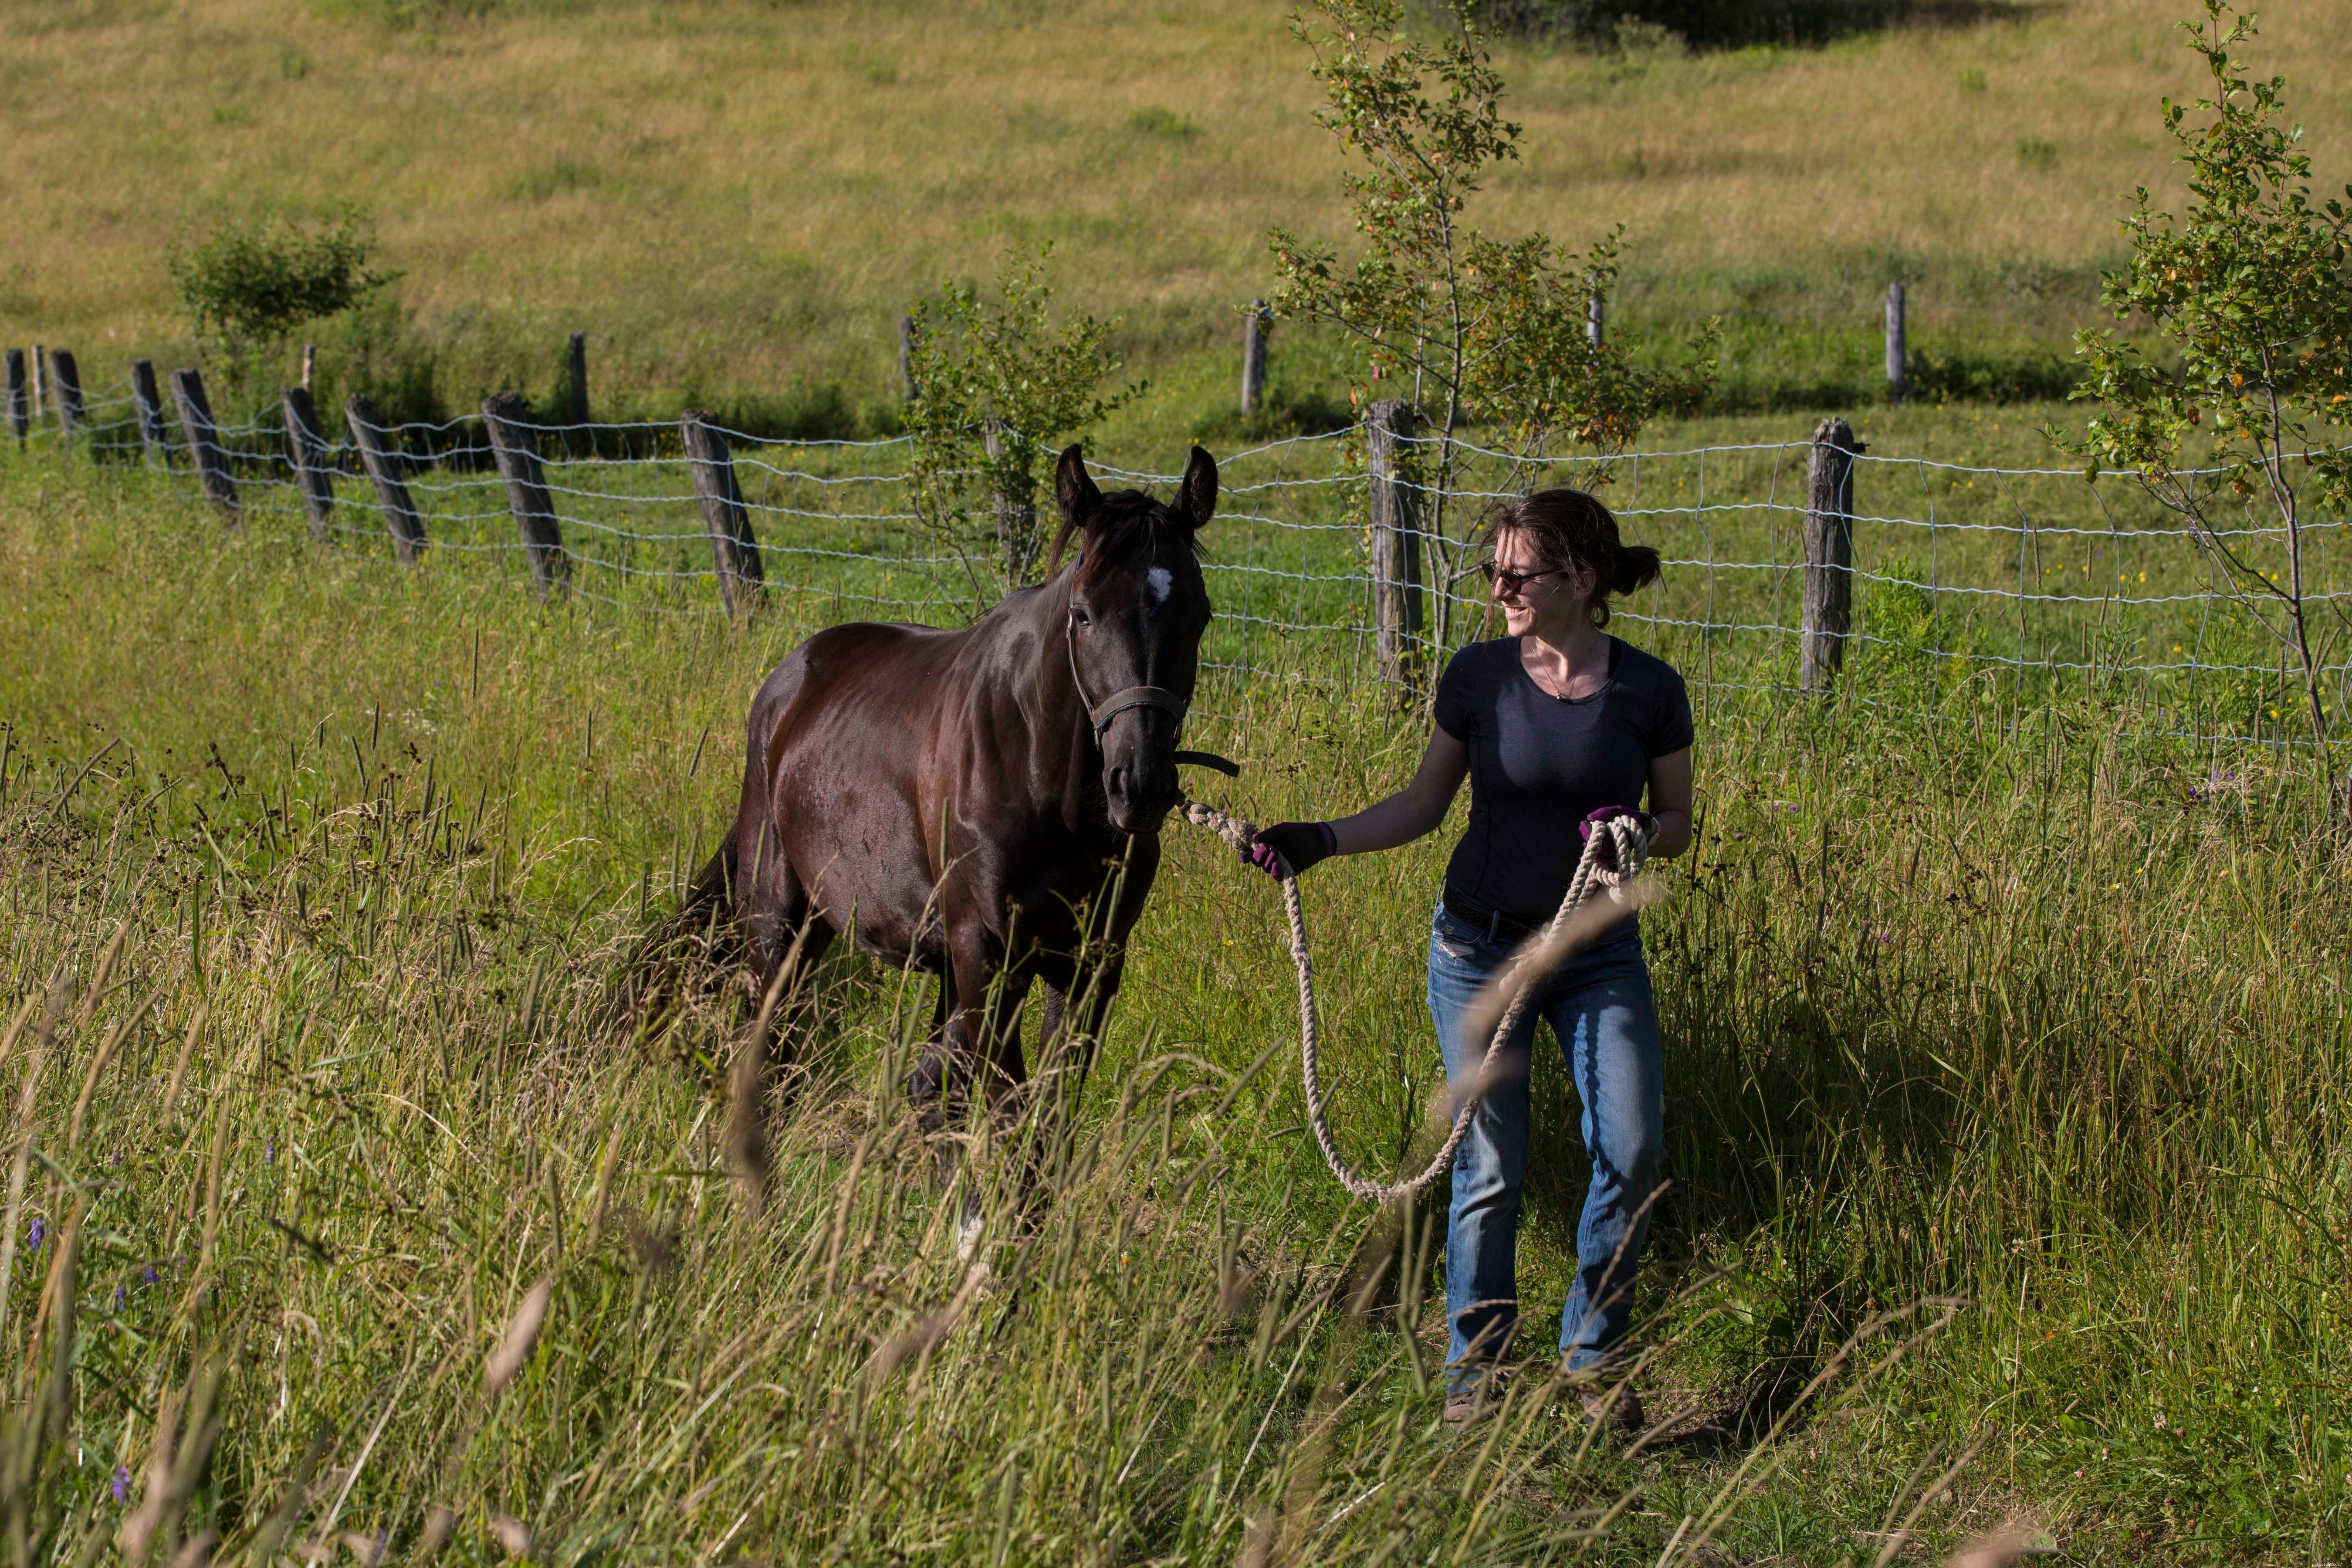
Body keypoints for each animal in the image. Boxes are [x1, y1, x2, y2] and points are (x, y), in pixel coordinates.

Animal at [675, 443, 1218, 1191]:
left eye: (1198, 614)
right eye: (1082, 614)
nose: (1137, 784)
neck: (1045, 780)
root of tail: (789, 680)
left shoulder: (1088, 963)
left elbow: (1043, 1118)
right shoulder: (988, 955)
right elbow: (1005, 1110)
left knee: (925, 1090)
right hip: (779, 920)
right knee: (772, 1055)